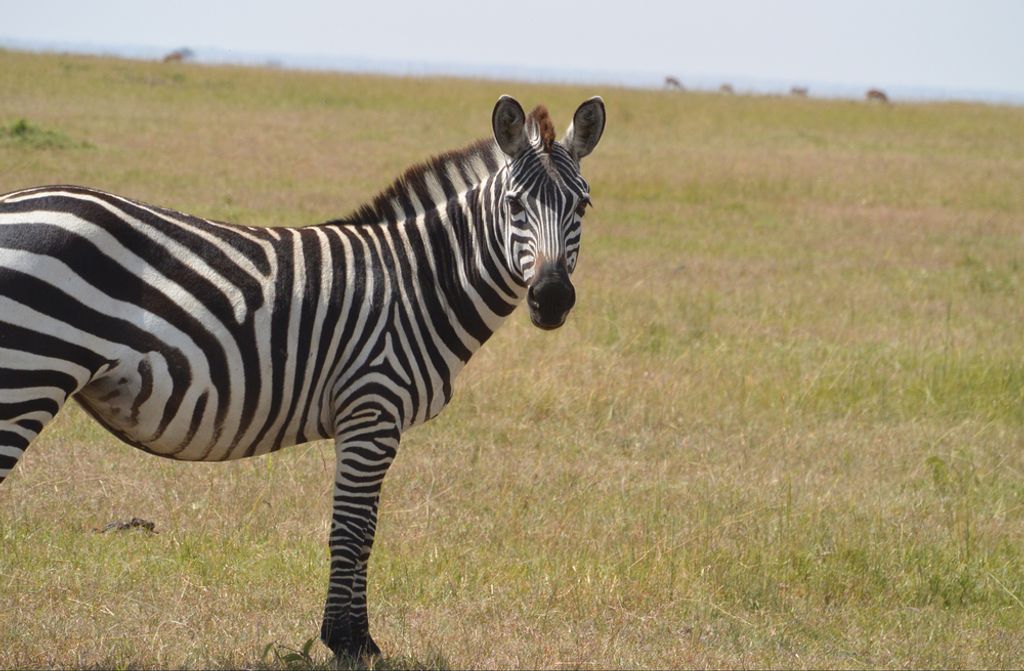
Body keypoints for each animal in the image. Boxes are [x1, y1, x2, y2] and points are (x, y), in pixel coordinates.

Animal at [0, 94, 605, 658]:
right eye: (515, 205)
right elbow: (354, 530)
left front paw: (355, 639)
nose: (552, 299)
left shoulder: (369, 420)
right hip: (26, 374)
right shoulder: (372, 408)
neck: (422, 281)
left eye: (582, 205)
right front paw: (350, 642)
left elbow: (361, 528)